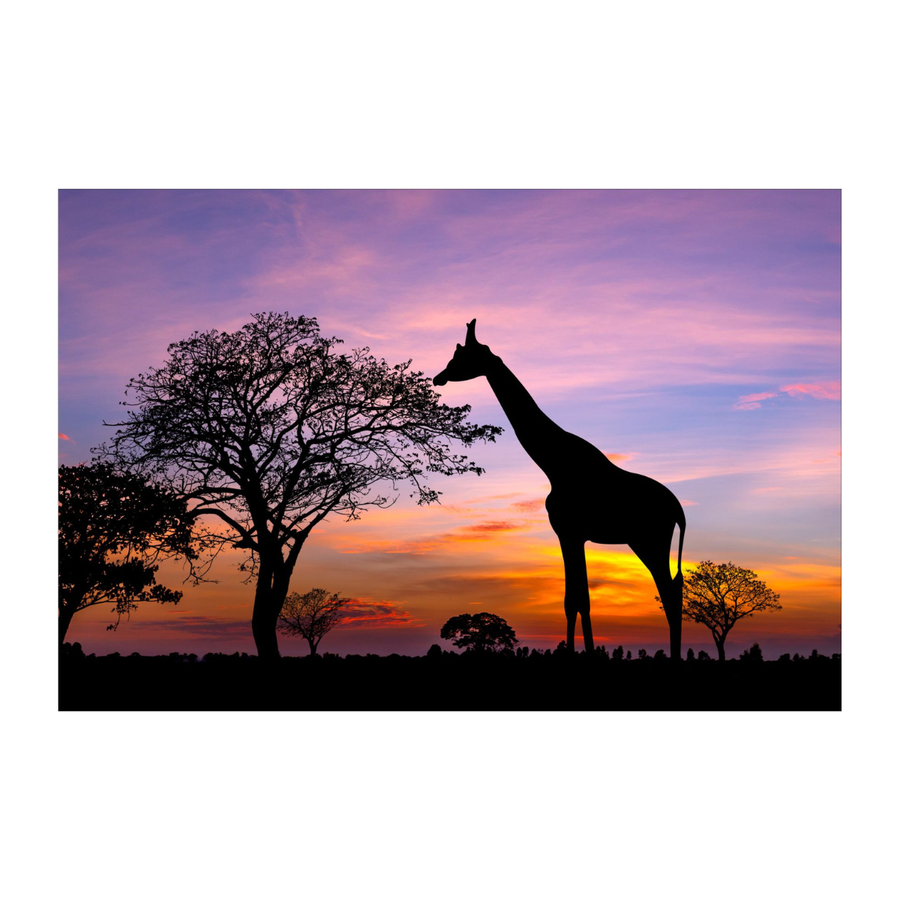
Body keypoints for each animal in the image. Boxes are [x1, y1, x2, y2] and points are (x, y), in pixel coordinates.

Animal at [434, 320, 686, 658]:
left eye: (461, 356)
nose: (438, 377)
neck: (553, 464)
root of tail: (679, 512)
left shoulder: (568, 531)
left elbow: (577, 601)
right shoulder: (572, 535)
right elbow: (576, 600)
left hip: (649, 541)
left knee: (669, 592)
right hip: (645, 542)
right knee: (674, 589)